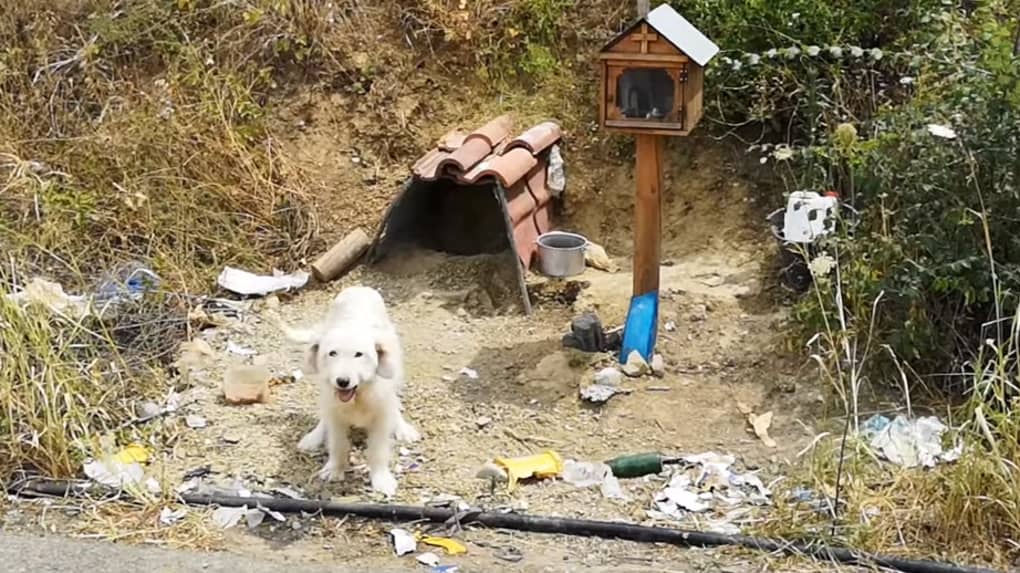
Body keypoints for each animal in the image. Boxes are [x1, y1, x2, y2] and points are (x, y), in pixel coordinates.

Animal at [281, 285, 416, 495]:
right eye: (332, 353)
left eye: (359, 354)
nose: (342, 381)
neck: (359, 396)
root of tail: (359, 287)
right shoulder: (335, 414)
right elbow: (338, 444)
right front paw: (335, 469)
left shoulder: (381, 416)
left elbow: (378, 450)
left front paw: (381, 479)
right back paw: (314, 437)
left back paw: (403, 428)